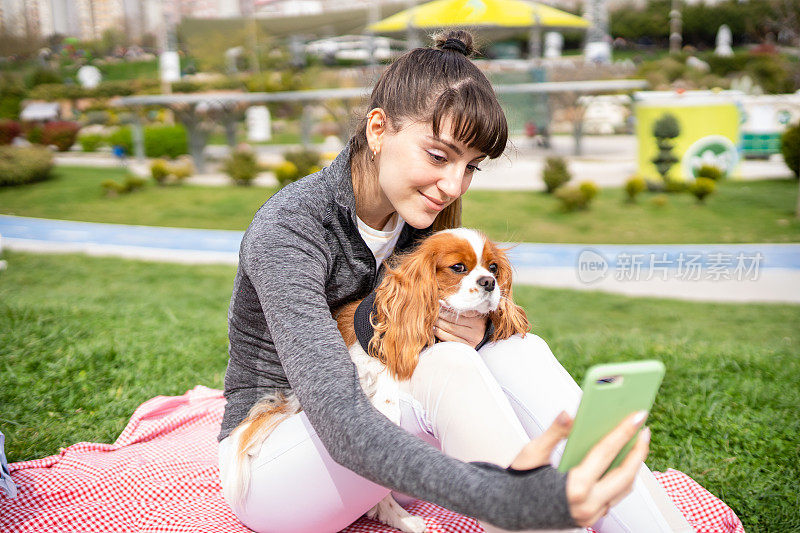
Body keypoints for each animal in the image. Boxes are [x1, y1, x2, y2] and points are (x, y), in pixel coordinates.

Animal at [220, 228, 532, 532]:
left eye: (493, 267)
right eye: (458, 267)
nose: (489, 282)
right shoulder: (360, 356)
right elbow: (385, 369)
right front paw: (388, 405)